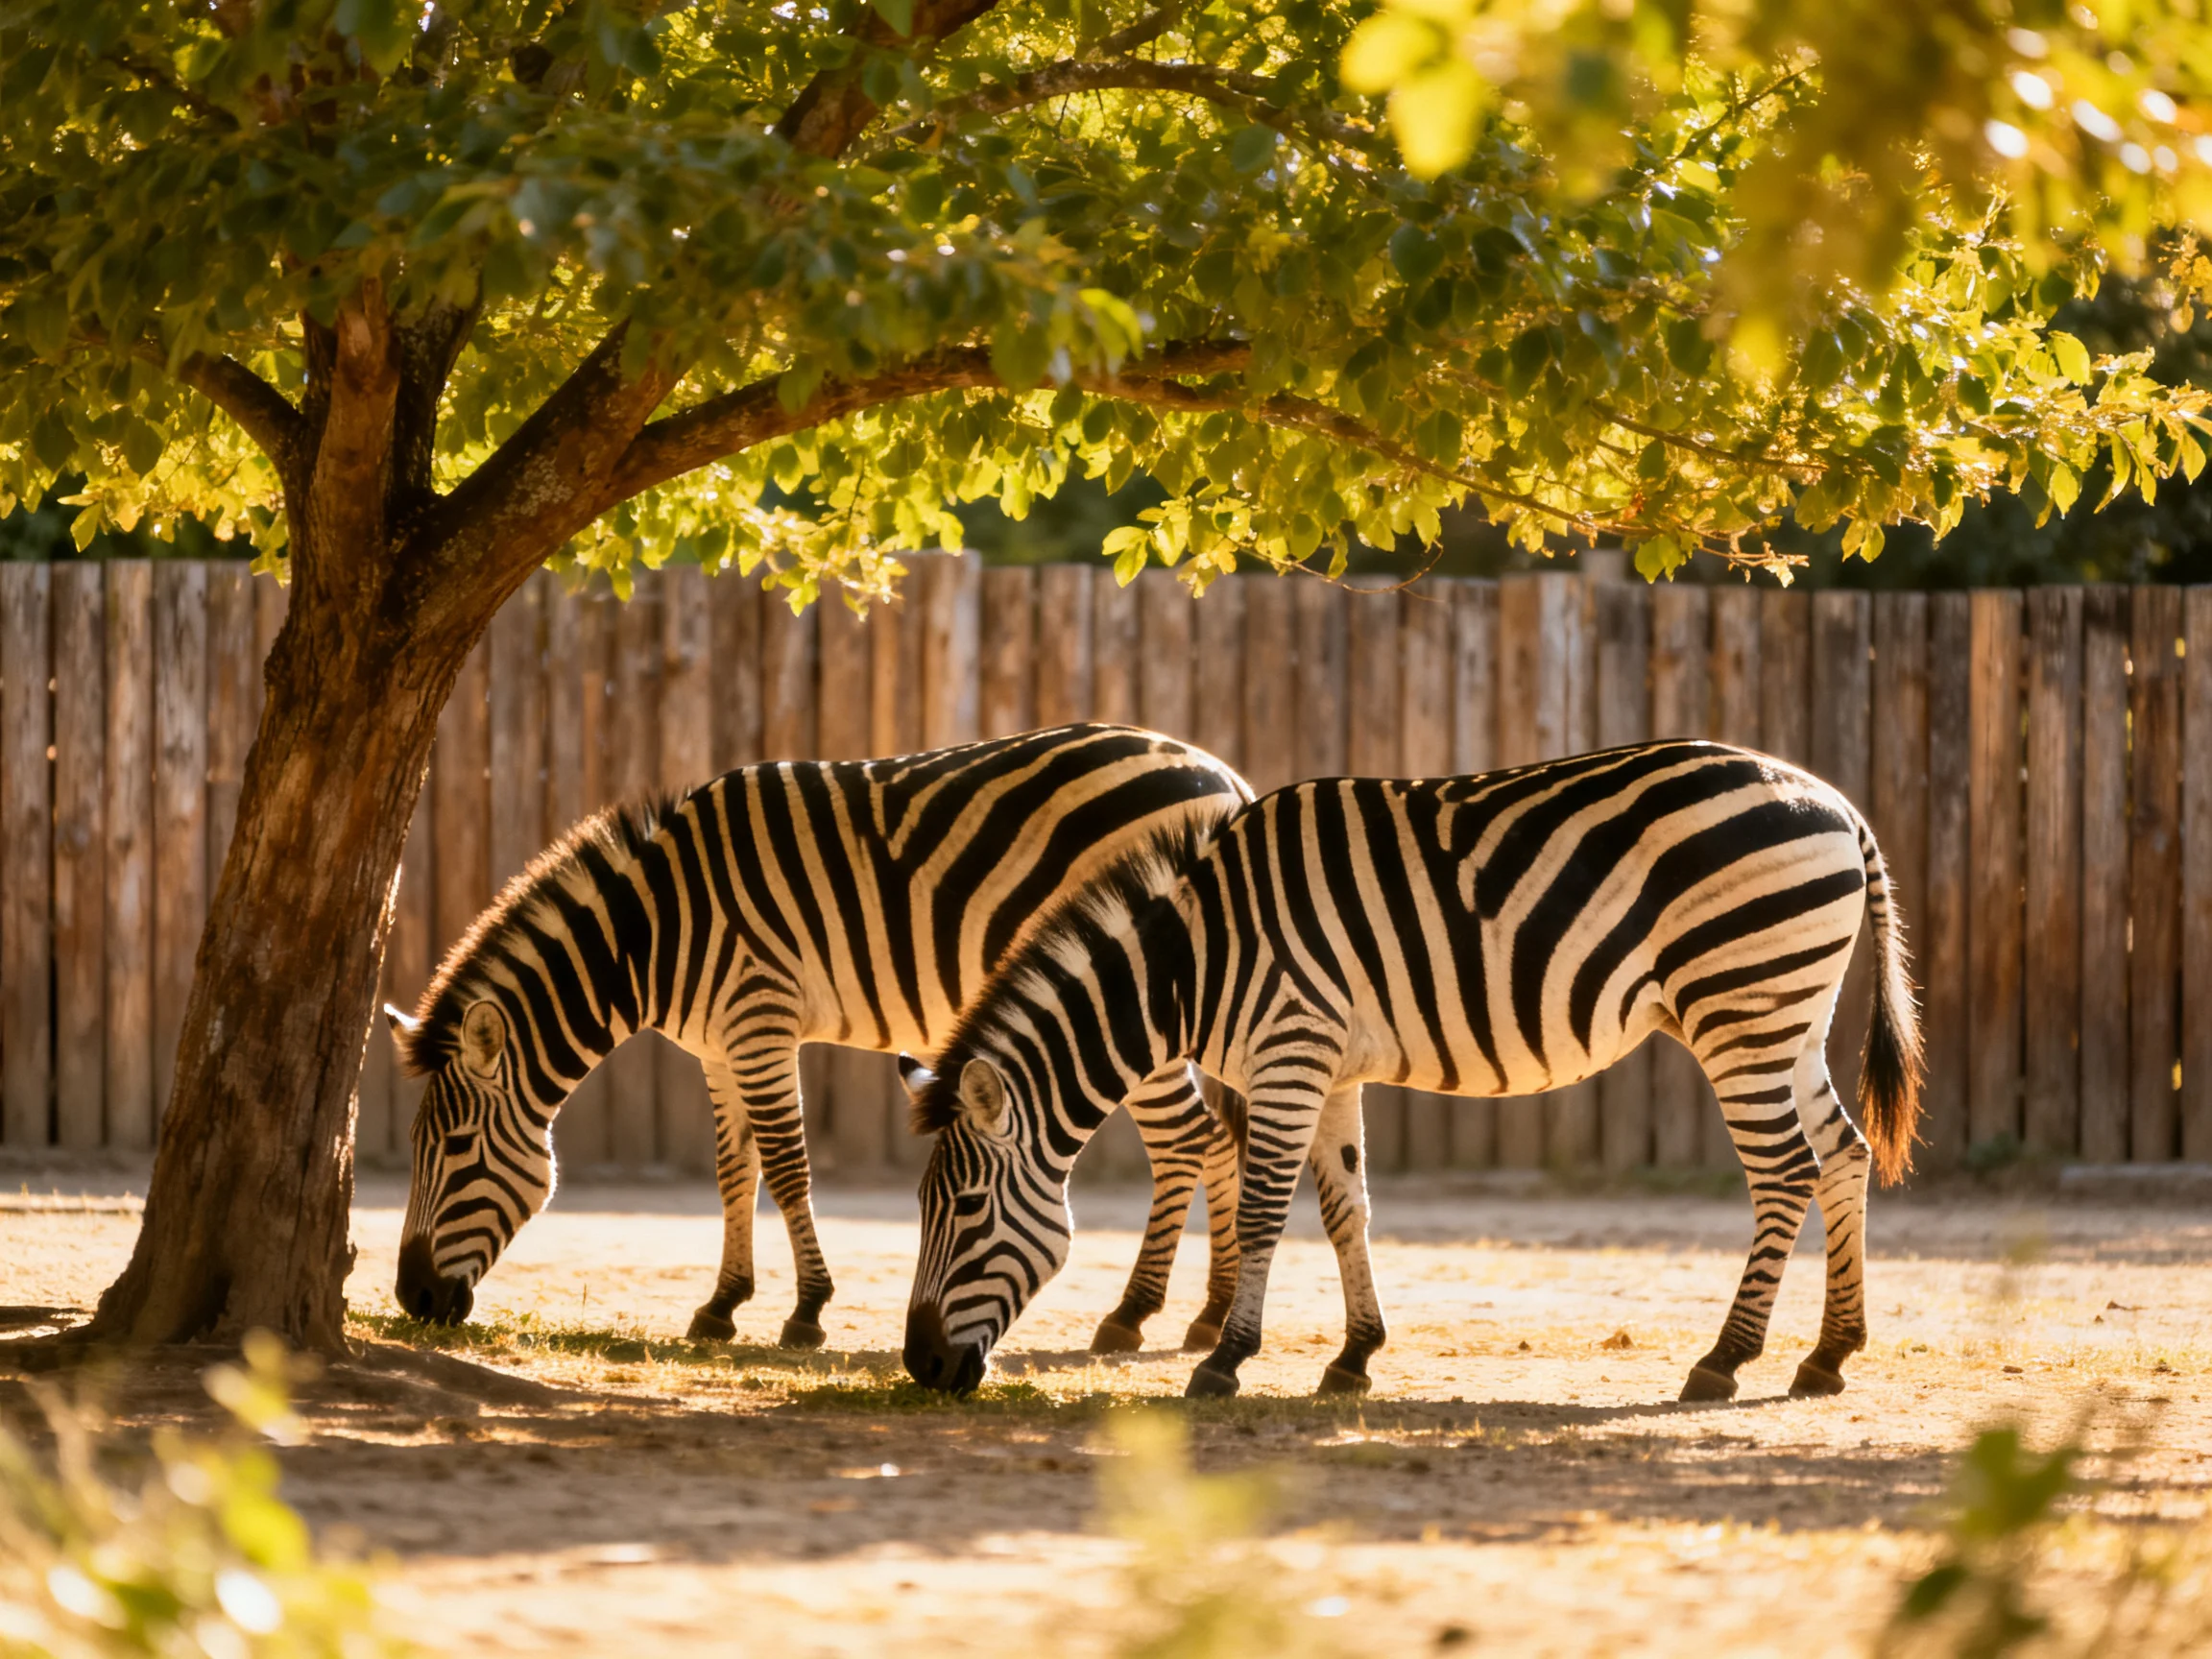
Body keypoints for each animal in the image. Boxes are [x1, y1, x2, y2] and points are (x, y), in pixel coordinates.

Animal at [388, 722, 1251, 1354]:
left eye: (454, 1149)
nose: (412, 1297)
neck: (653, 933)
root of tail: (1223, 777)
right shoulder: (717, 1045)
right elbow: (733, 1171)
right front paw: (722, 1305)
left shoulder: (759, 1018)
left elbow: (787, 1166)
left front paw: (805, 1312)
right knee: (1216, 1142)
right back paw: (1206, 1316)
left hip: (1138, 1000)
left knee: (1189, 1143)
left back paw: (1133, 1316)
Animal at [901, 739, 1922, 1402]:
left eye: (967, 1209)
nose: (920, 1369)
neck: (1198, 959)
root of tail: (1842, 809)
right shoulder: (1329, 1065)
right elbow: (1346, 1208)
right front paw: (1354, 1358)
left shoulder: (1289, 1051)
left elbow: (1269, 1210)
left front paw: (1225, 1362)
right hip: (1788, 1015)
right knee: (1844, 1154)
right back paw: (1829, 1356)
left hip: (1739, 1006)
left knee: (1784, 1171)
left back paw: (1724, 1362)